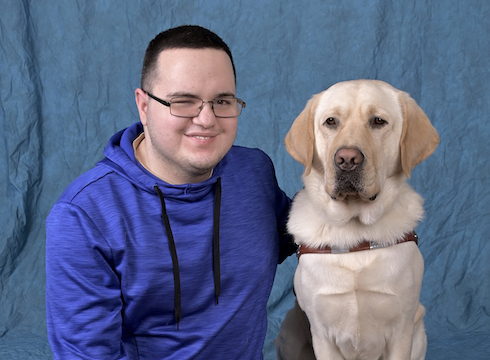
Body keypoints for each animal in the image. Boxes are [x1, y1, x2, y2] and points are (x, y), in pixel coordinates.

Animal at [276, 80, 440, 358]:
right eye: (331, 121)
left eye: (378, 121)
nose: (347, 160)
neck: (355, 232)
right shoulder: (321, 333)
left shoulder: (402, 329)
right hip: (288, 333)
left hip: (419, 331)